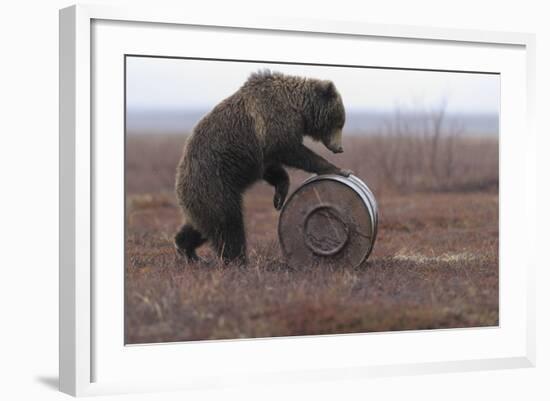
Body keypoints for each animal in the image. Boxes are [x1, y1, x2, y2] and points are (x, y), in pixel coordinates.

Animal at [175, 70, 352, 264]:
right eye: (339, 122)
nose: (340, 148)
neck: (298, 108)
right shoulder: (273, 121)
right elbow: (290, 149)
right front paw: (338, 169)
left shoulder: (261, 152)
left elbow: (272, 169)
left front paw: (279, 197)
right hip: (215, 182)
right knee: (228, 224)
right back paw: (238, 259)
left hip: (205, 195)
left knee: (200, 226)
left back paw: (188, 250)